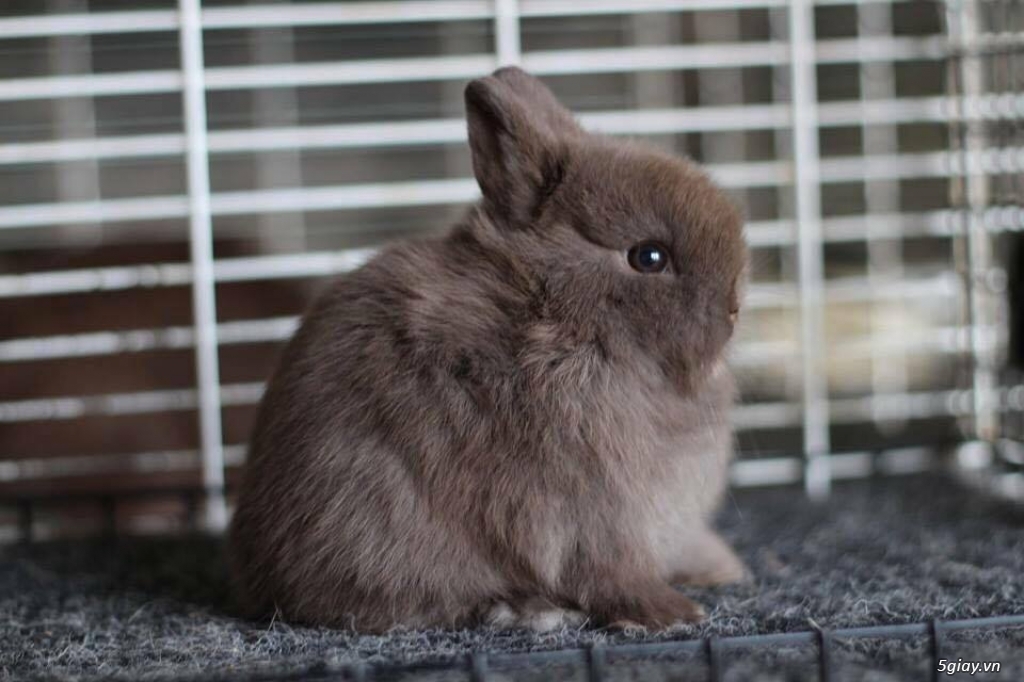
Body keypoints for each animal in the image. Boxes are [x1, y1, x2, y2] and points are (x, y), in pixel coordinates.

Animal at [228, 66, 749, 630]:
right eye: (648, 257)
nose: (734, 307)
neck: (560, 318)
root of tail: (258, 576)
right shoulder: (591, 512)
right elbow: (607, 571)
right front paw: (672, 614)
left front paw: (720, 571)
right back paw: (529, 609)